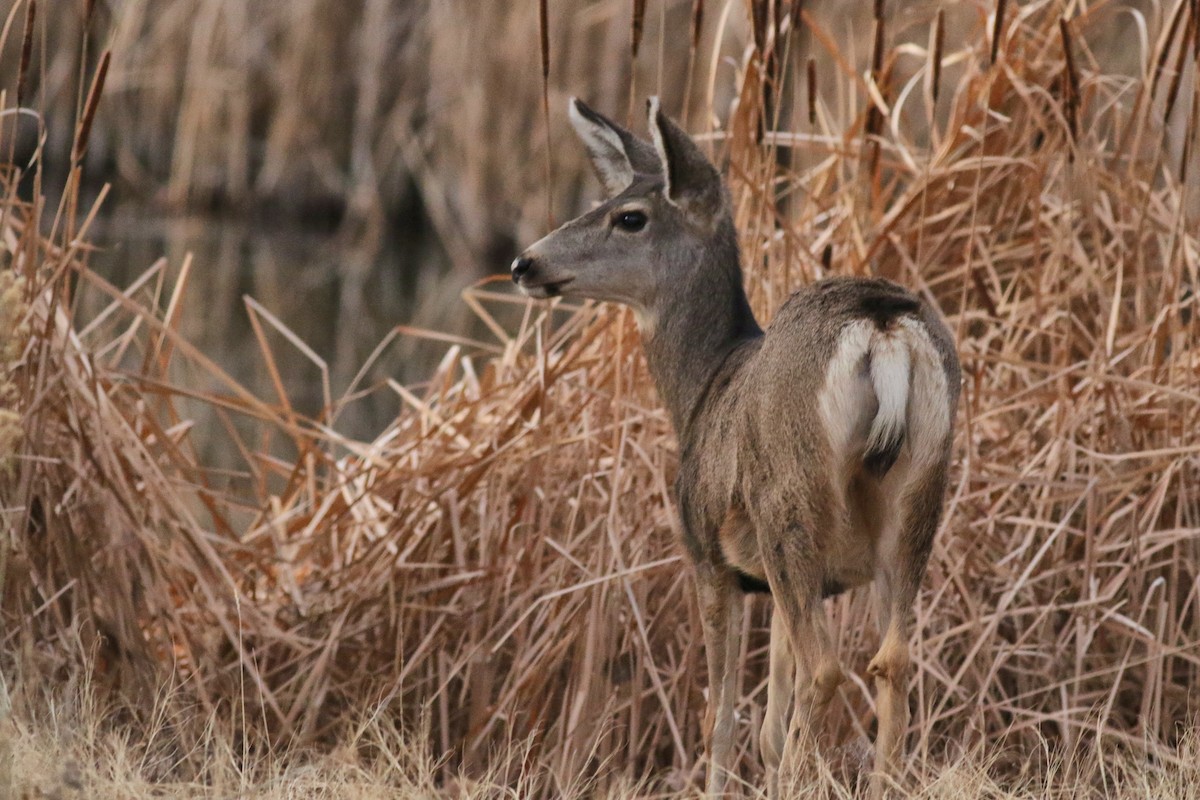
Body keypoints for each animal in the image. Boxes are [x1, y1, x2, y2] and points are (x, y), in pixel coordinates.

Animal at [510, 97, 960, 799]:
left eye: (629, 216)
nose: (524, 263)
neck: (701, 387)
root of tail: (881, 323)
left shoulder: (710, 556)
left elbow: (718, 714)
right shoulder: (784, 582)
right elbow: (770, 722)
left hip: (788, 501)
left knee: (827, 667)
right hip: (918, 497)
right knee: (890, 660)